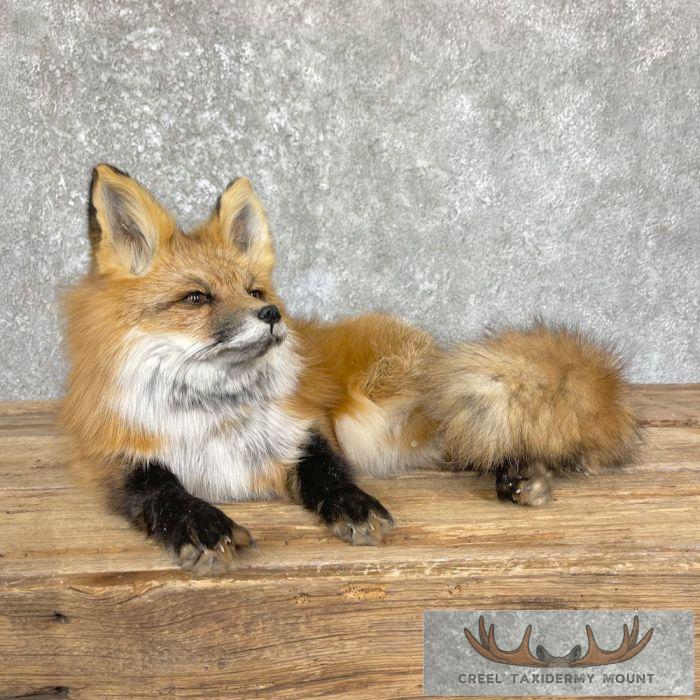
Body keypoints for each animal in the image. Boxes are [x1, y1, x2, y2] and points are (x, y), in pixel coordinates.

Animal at [60, 164, 640, 576]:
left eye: (255, 292)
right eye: (196, 297)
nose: (272, 316)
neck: (217, 417)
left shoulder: (304, 429)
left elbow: (329, 473)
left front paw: (354, 506)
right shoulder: (116, 457)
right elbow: (163, 493)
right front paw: (202, 525)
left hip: (387, 413)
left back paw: (524, 473)